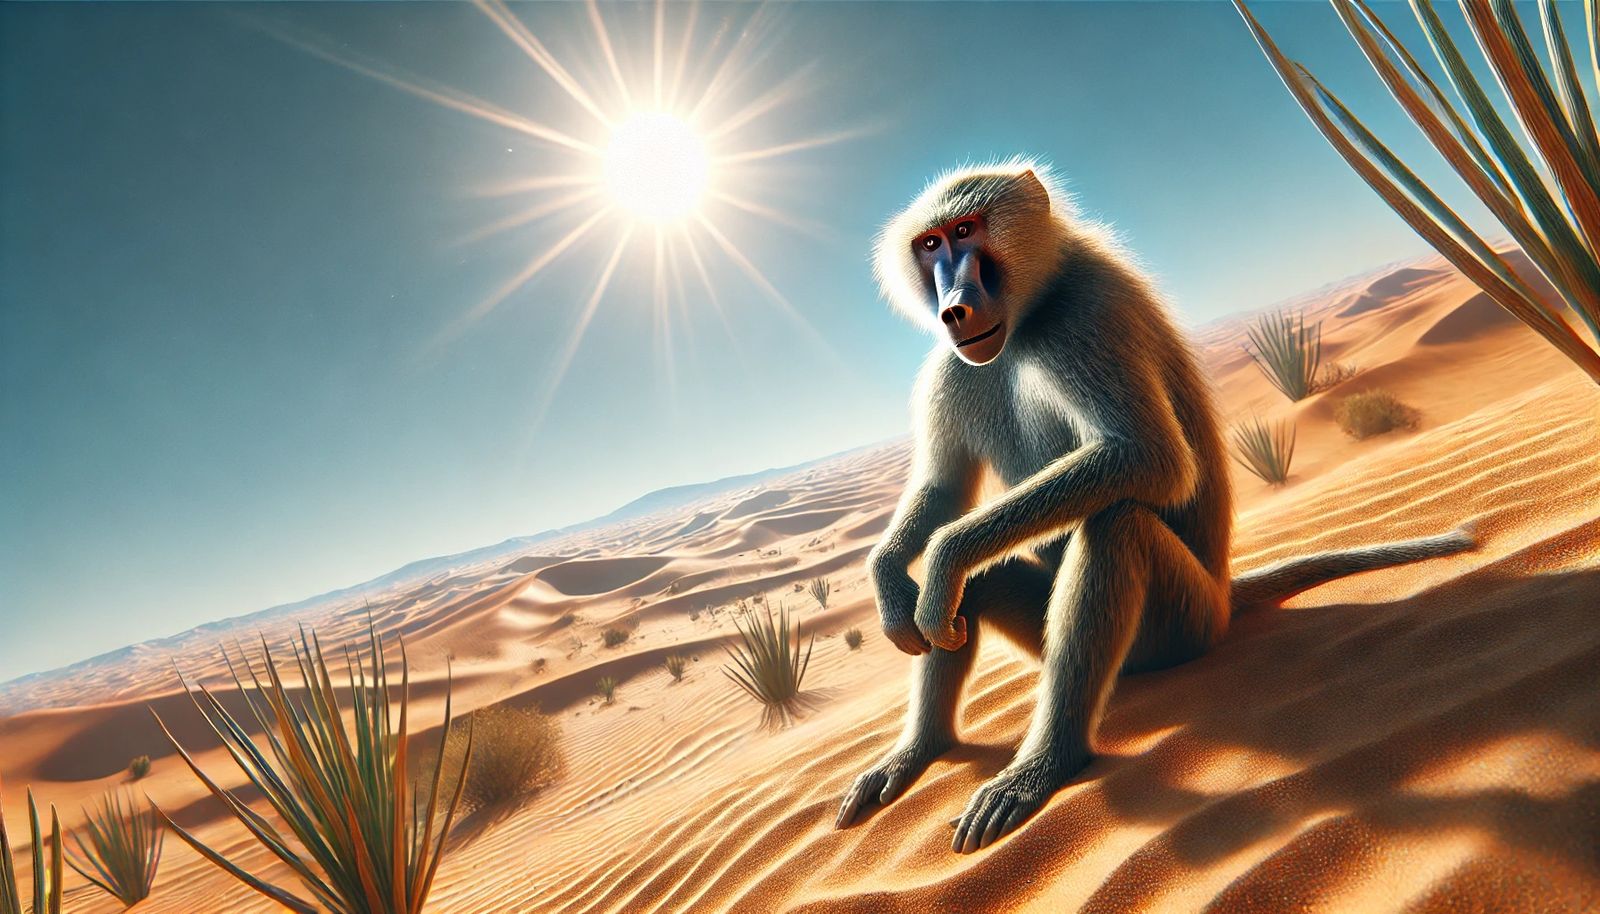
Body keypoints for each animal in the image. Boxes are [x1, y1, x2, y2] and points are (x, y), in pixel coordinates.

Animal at [834, 159, 1474, 853]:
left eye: (967, 230)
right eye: (931, 244)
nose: (954, 305)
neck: (1031, 313)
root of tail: (1223, 595)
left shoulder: (1084, 320)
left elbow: (1147, 457)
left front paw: (942, 555)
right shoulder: (952, 366)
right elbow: (946, 490)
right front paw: (890, 578)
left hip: (1183, 624)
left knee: (1115, 525)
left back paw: (1044, 764)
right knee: (969, 590)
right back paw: (922, 749)